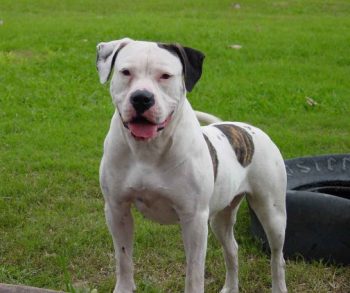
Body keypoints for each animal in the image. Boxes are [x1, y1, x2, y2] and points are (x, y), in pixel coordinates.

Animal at [95, 38, 288, 292]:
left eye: (165, 76)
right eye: (126, 72)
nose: (141, 98)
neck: (148, 149)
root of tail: (246, 128)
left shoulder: (194, 219)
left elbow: (194, 273)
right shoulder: (117, 209)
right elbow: (123, 259)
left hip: (272, 213)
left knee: (277, 257)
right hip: (220, 217)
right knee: (232, 249)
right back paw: (230, 287)